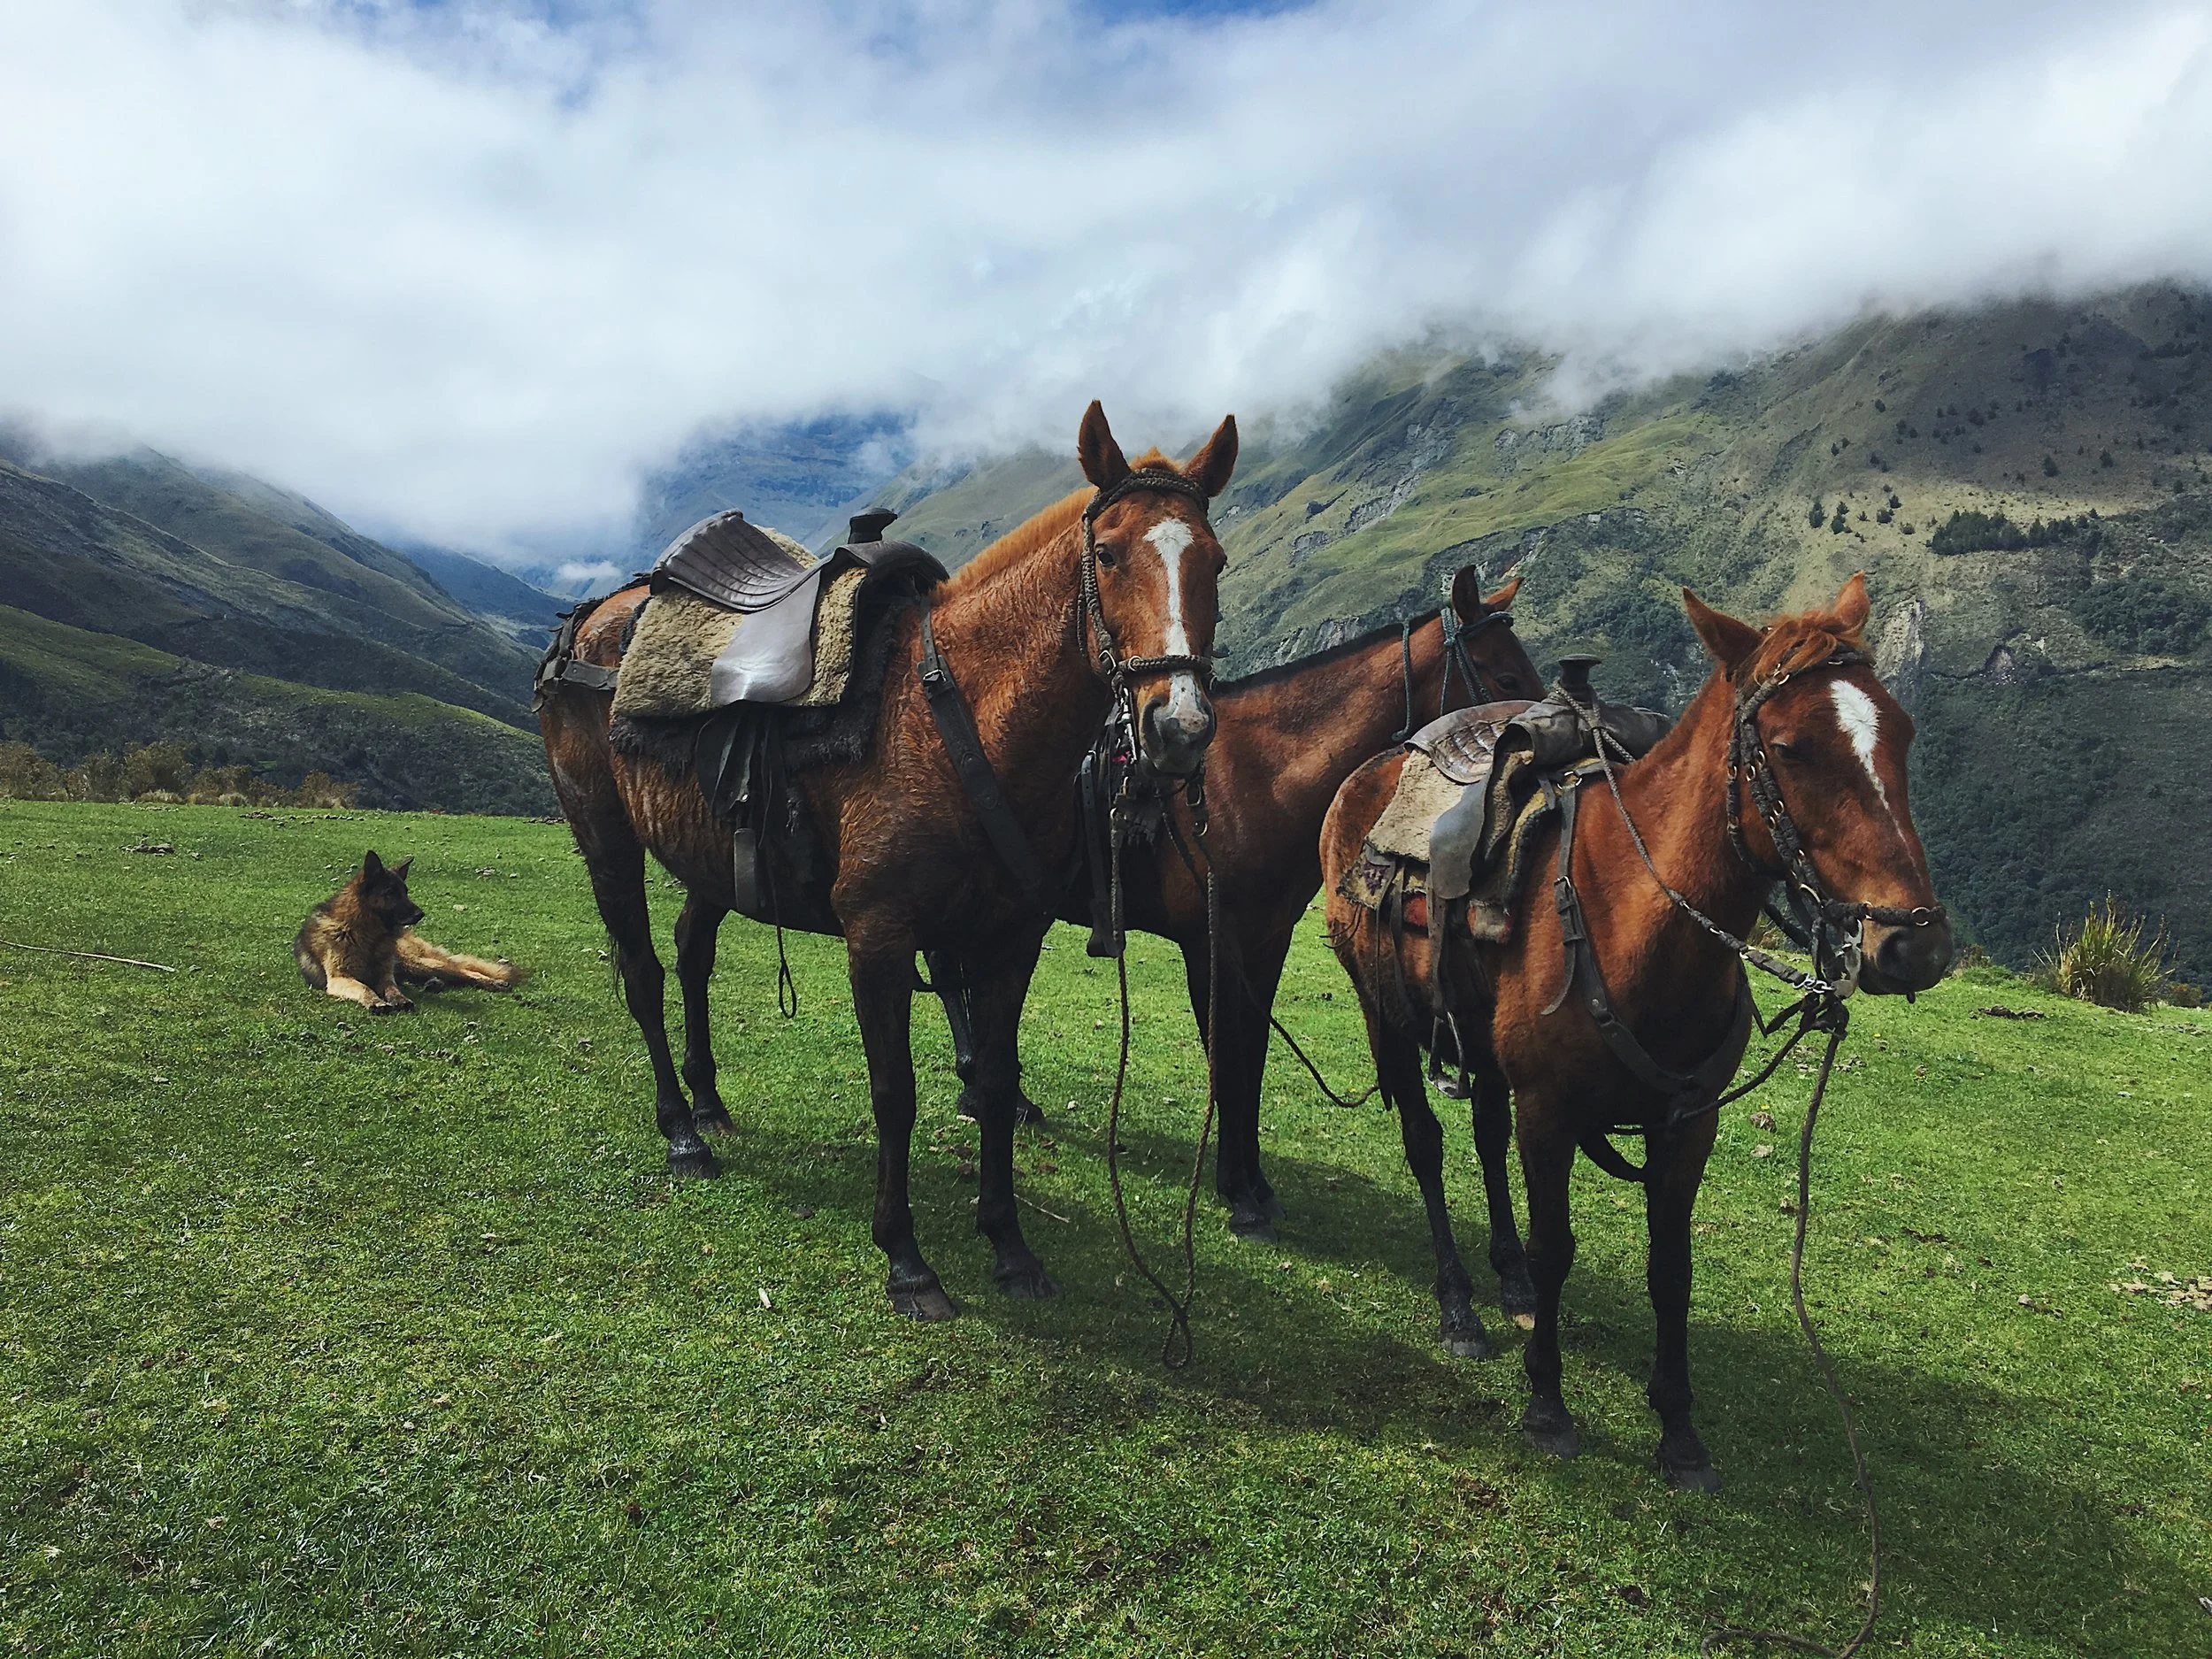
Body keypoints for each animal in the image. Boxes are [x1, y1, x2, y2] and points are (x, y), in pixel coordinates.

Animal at [539, 402, 1239, 1320]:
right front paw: (906, 1257)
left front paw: (1010, 1243)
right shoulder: (879, 940)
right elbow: (894, 1093)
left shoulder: (1011, 941)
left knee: (692, 954)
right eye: (1110, 553)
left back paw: (710, 1100)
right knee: (648, 973)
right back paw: (682, 1130)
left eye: (1216, 559)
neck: (956, 716)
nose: (1179, 727)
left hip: (709, 857)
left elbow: (997, 1081)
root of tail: (589, 622)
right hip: (606, 841)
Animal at [1320, 573, 1951, 1486]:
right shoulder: (1549, 1112)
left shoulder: (1688, 1125)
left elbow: (1670, 1266)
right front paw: (1547, 1404)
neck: (1633, 916)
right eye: (1792, 747)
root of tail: (1365, 775)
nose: (1916, 944)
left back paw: (1507, 1282)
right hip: (1387, 1021)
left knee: (1484, 1137)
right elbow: (1557, 1245)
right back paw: (1460, 1305)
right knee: (1427, 1145)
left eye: (1901, 732)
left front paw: (1679, 1428)